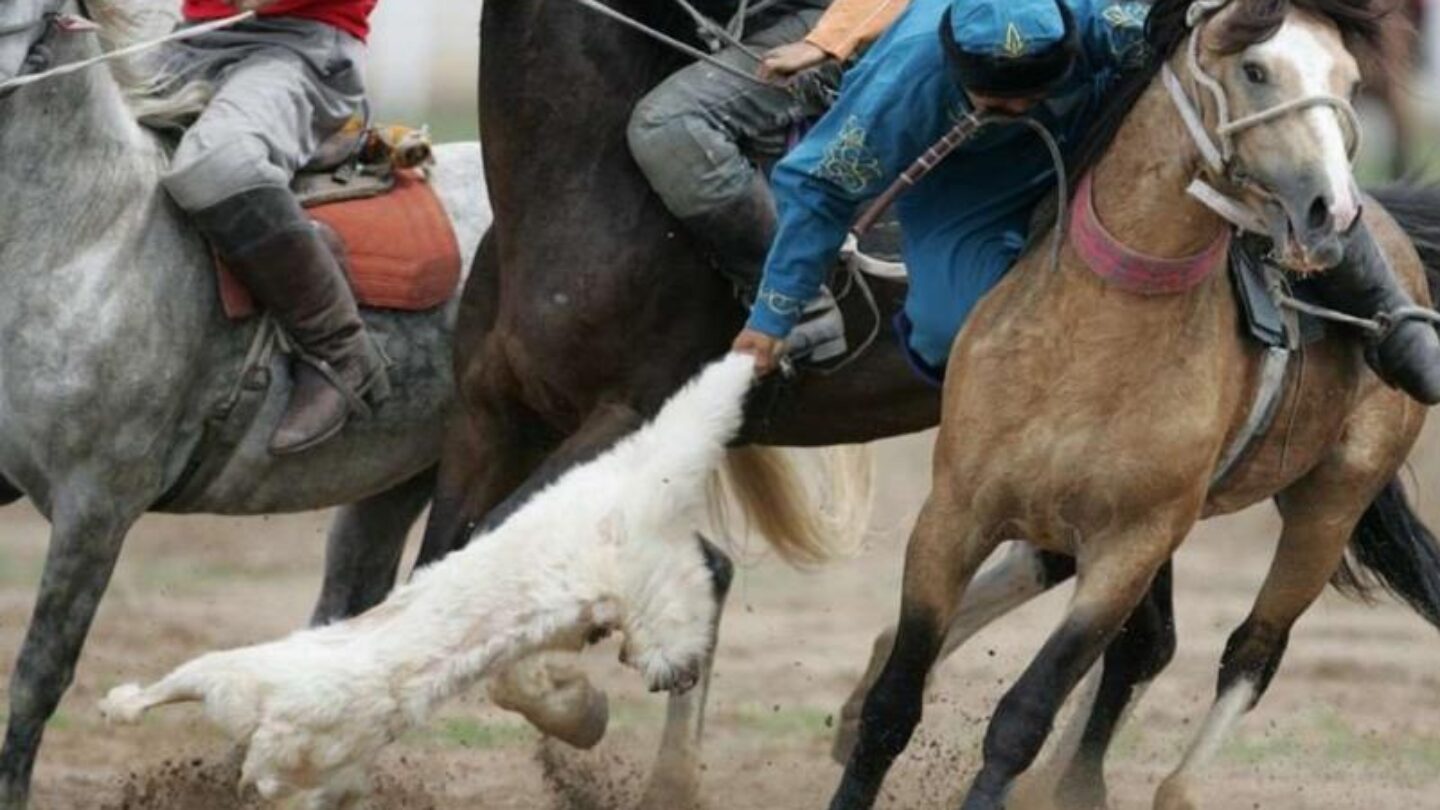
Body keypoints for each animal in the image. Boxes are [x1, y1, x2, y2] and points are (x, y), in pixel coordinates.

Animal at [829, 0, 1440, 801]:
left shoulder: (1131, 545)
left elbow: (1024, 715)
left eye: (1351, 80)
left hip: (1332, 499)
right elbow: (893, 703)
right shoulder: (952, 516)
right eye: (1255, 70)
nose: (1331, 213)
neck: (1092, 337)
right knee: (1145, 647)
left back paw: (1172, 788)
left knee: (1252, 649)